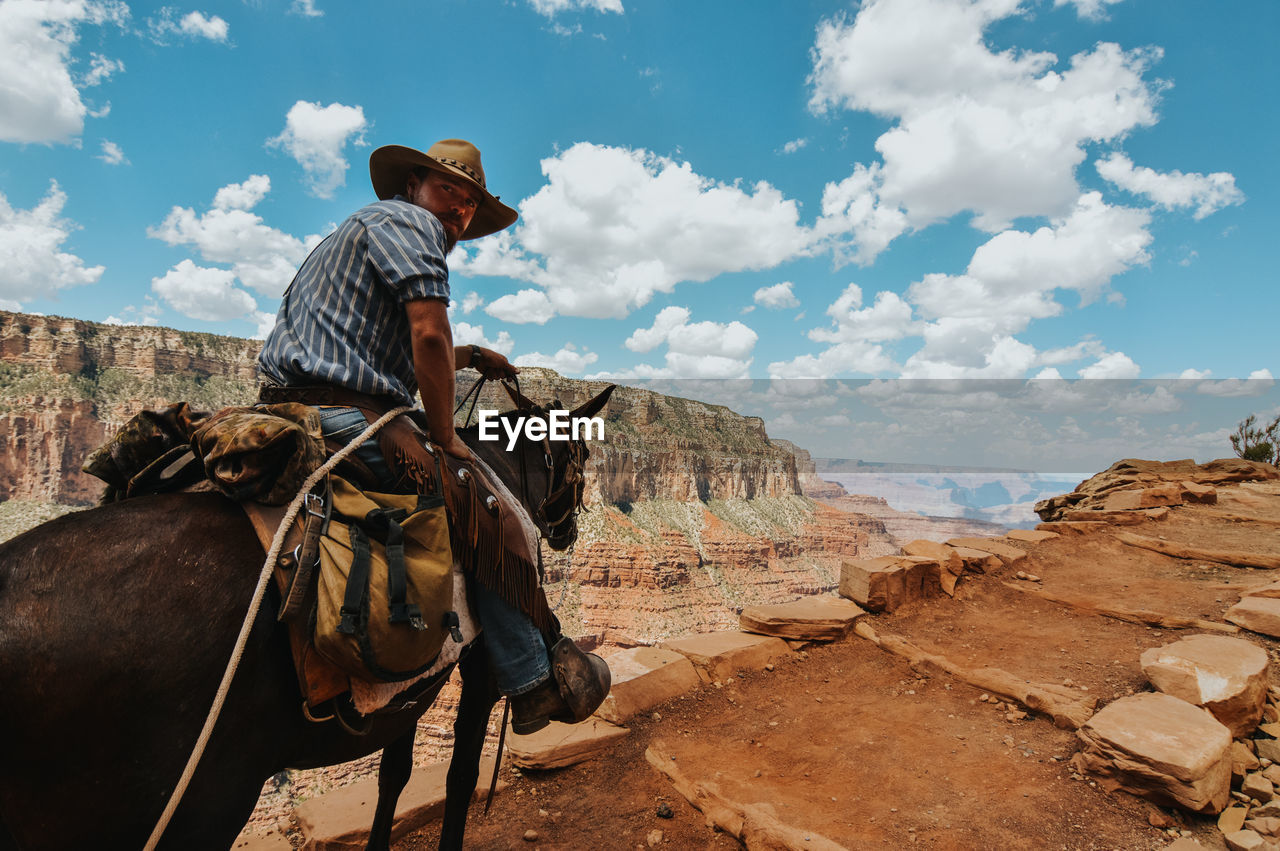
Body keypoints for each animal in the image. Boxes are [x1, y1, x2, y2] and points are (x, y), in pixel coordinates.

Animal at [0, 386, 614, 849]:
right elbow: (460, 776)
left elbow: (393, 776)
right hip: (193, 806)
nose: (566, 531)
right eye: (584, 454)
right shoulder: (482, 663)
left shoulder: (405, 691)